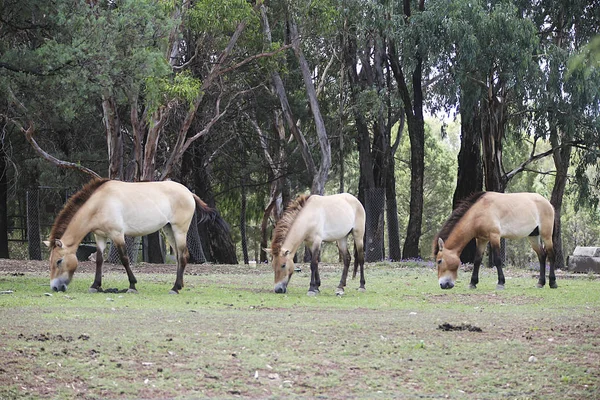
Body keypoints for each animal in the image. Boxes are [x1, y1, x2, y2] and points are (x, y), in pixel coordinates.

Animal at [43, 178, 216, 294]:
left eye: (59, 261)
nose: (55, 287)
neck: (100, 203)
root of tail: (189, 193)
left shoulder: (117, 234)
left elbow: (124, 259)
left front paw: (132, 285)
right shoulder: (100, 236)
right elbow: (99, 260)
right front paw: (95, 285)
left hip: (180, 230)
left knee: (184, 255)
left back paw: (174, 288)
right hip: (169, 230)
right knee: (180, 257)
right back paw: (178, 285)